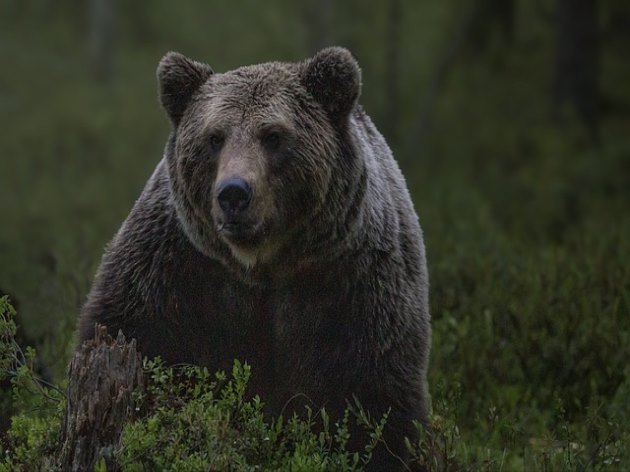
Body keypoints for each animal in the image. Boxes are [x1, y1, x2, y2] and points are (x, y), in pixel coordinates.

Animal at [79, 47, 432, 468]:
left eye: (273, 136)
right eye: (214, 137)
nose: (233, 193)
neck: (262, 265)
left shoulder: (353, 285)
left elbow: (375, 398)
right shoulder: (174, 268)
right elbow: (136, 335)